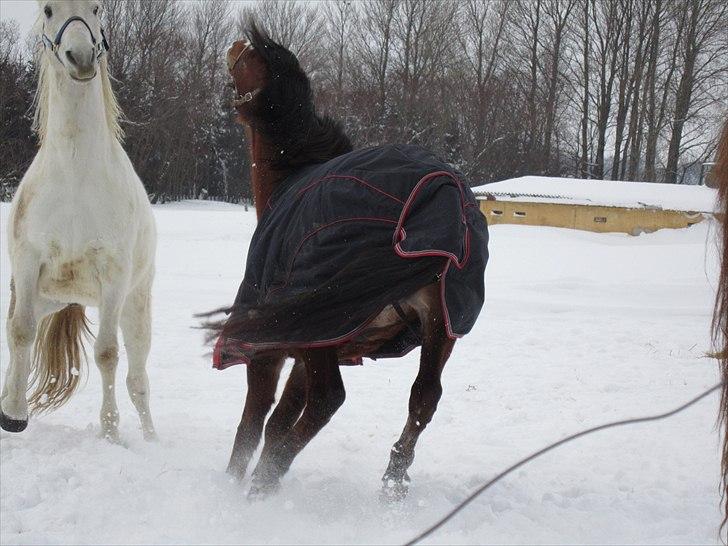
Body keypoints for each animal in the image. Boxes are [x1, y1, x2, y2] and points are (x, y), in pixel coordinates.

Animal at [0, 0, 157, 440]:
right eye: (49, 10)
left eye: (97, 8)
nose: (81, 57)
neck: (74, 173)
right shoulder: (28, 263)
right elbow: (19, 333)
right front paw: (13, 414)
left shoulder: (113, 277)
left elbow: (107, 354)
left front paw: (110, 433)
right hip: (46, 298)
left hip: (134, 307)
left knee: (138, 379)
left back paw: (150, 438)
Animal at [209, 26, 490, 502]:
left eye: (248, 55)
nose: (230, 46)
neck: (291, 179)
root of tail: (444, 195)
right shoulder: (316, 348)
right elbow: (281, 417)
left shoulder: (277, 347)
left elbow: (254, 420)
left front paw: (232, 481)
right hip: (441, 325)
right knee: (423, 396)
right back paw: (391, 480)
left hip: (322, 325)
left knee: (328, 399)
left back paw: (264, 482)